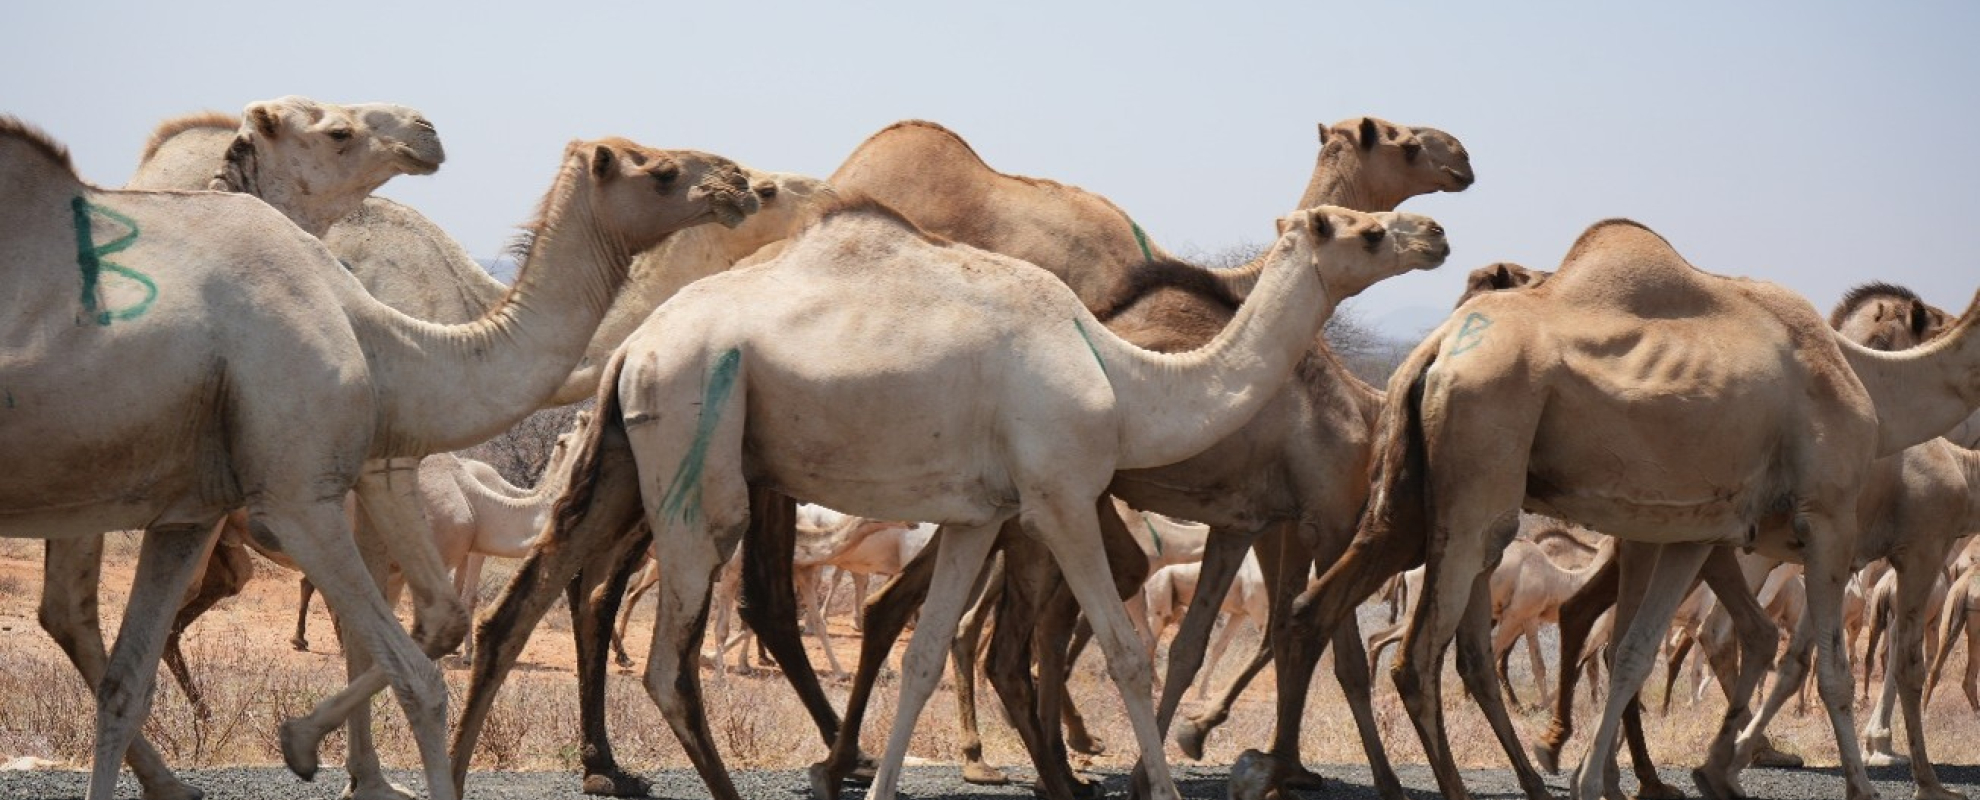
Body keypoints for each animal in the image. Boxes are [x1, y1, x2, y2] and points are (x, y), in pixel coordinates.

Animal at [0, 113, 755, 800]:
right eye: (659, 170)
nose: (741, 180)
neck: (390, 336)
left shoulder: (194, 510)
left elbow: (130, 685)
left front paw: (324, 754)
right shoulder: (314, 488)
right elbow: (418, 665)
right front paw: (320, 752)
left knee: (96, 629)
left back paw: (178, 770)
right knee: (74, 610)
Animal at [447, 199, 1448, 800]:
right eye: (1360, 229)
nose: (1433, 234)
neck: (1127, 382)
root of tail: (634, 344)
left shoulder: (981, 514)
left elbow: (925, 656)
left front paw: (884, 783)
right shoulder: (1059, 494)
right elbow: (1128, 653)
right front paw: (1154, 780)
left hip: (625, 456)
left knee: (520, 607)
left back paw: (451, 769)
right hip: (699, 442)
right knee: (666, 659)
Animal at [1274, 219, 1980, 800]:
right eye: (1931, 317)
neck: (1872, 384)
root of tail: (1437, 349)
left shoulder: (1700, 526)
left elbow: (1635, 651)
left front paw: (1605, 779)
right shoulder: (1830, 519)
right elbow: (1829, 664)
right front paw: (1870, 783)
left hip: (1410, 497)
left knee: (1316, 609)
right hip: (1479, 481)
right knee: (1420, 657)